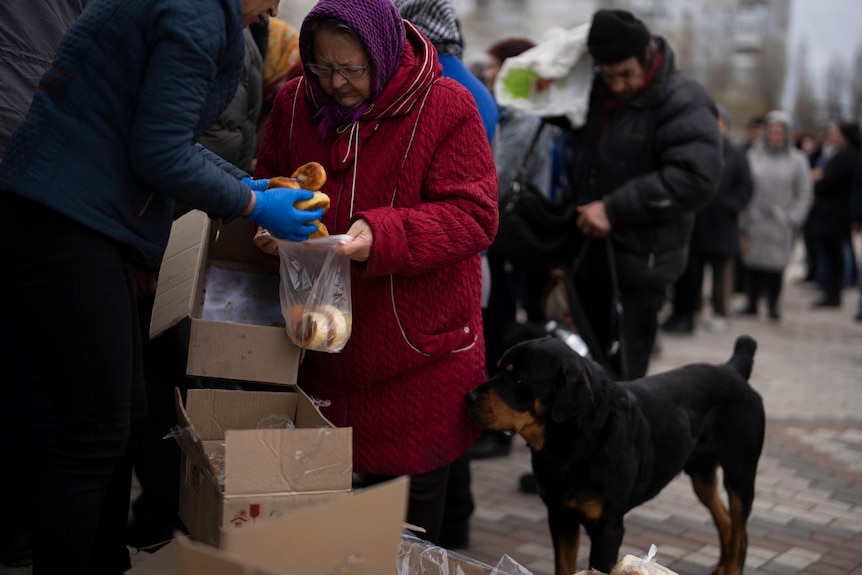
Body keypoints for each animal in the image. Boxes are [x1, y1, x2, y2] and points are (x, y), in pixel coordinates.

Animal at [470, 336, 768, 575]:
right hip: (702, 475)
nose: (469, 396)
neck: (570, 444)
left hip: (741, 474)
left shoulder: (608, 529)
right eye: (498, 368)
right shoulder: (560, 515)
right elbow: (563, 565)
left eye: (518, 379)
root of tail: (733, 370)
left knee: (739, 528)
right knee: (727, 522)